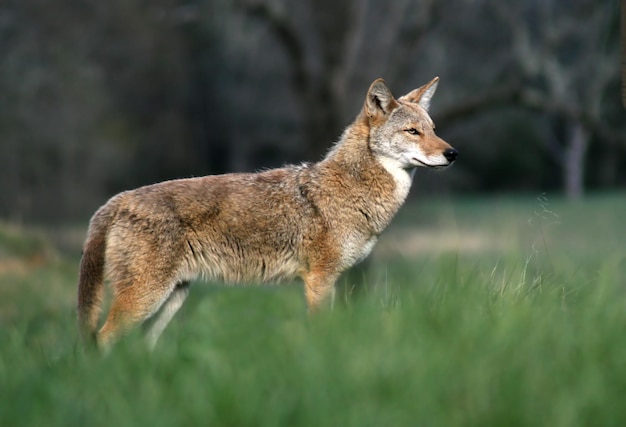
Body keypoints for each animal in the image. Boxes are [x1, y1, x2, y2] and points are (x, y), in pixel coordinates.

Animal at [78, 77, 458, 350]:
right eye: (412, 131)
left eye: (434, 129)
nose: (453, 153)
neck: (350, 188)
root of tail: (116, 200)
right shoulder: (320, 279)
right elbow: (321, 331)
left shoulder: (328, 279)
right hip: (146, 299)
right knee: (101, 338)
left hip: (169, 299)